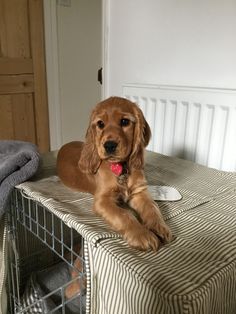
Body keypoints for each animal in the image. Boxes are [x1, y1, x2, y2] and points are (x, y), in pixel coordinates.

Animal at [57, 95, 171, 250]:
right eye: (100, 124)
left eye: (124, 121)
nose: (109, 145)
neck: (121, 168)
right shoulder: (102, 200)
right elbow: (124, 214)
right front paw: (142, 235)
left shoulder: (139, 193)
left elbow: (153, 207)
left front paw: (160, 228)